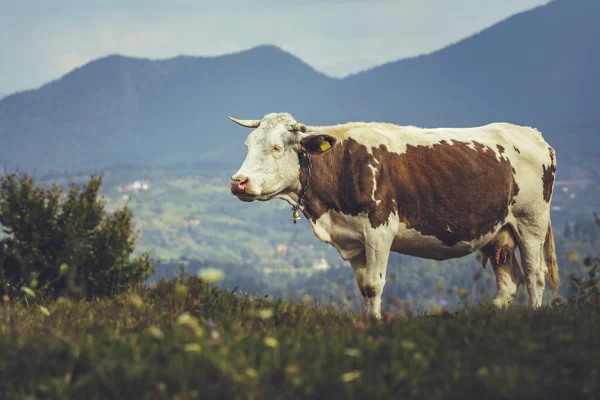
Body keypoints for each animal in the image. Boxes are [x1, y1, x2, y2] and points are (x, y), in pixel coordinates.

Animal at [229, 112, 556, 318]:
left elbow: (374, 284)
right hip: (498, 231)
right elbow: (364, 286)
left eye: (276, 147)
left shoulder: (379, 229)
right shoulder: (353, 238)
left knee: (534, 274)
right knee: (509, 281)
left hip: (531, 221)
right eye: (247, 145)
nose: (238, 181)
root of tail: (533, 135)